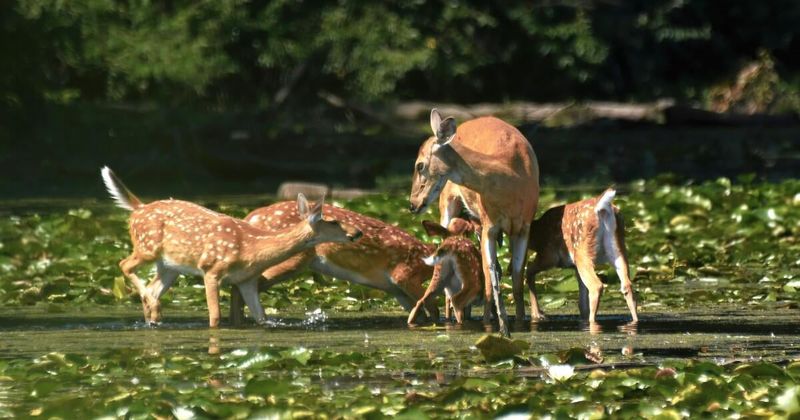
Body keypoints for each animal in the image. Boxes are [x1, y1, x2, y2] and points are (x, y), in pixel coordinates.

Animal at [100, 166, 362, 328]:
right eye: (334, 221)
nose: (357, 233)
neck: (252, 249)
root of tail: (138, 208)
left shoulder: (246, 280)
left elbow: (261, 317)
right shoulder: (211, 270)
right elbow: (215, 317)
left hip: (170, 266)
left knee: (153, 288)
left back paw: (154, 314)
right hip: (147, 247)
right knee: (124, 264)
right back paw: (152, 306)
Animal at [228, 201, 442, 325]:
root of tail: (251, 217)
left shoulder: (397, 291)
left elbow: (420, 313)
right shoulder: (404, 275)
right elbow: (433, 308)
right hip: (292, 260)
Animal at [409, 109, 540, 337]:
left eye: (420, 165)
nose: (412, 204)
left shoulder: (524, 226)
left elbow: (516, 277)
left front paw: (518, 324)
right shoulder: (489, 224)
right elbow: (490, 275)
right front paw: (497, 326)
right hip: (448, 202)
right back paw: (452, 319)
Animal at [526, 188, 638, 324]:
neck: (536, 234)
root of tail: (602, 208)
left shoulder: (548, 255)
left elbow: (528, 270)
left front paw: (537, 314)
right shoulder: (574, 267)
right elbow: (582, 302)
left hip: (582, 252)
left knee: (596, 286)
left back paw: (592, 322)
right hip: (618, 248)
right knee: (627, 285)